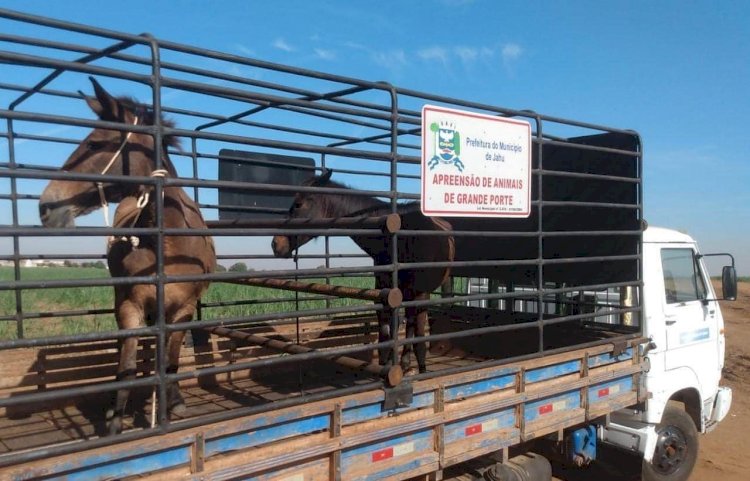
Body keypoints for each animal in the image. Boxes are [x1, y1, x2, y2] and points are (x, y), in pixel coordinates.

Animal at [38, 79, 216, 436]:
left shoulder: (182, 310)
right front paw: (115, 421)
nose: (46, 206)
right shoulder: (130, 305)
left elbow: (169, 360)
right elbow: (128, 366)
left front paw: (172, 403)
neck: (167, 246)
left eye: (95, 144)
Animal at [274, 171, 456, 376]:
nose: (276, 244)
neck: (400, 239)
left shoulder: (419, 293)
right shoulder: (385, 292)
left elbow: (417, 336)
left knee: (412, 325)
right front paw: (387, 365)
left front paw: (422, 370)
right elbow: (386, 333)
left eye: (298, 204)